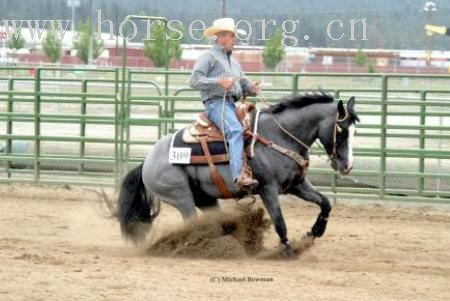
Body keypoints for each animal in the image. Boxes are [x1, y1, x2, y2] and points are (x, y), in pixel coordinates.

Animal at [115, 92, 358, 256]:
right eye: (341, 130)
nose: (347, 166)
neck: (279, 136)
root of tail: (146, 161)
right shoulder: (268, 188)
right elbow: (279, 221)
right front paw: (287, 250)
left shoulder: (297, 185)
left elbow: (325, 203)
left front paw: (314, 232)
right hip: (180, 196)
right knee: (192, 222)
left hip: (205, 198)